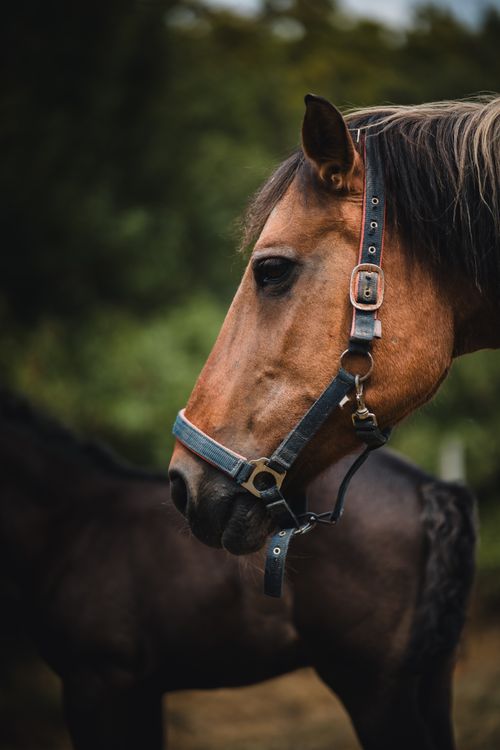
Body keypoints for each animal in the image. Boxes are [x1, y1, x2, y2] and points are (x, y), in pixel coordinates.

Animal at [0, 387, 475, 749]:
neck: (74, 524)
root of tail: (430, 488)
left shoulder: (97, 684)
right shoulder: (141, 689)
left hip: (372, 687)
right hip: (432, 679)